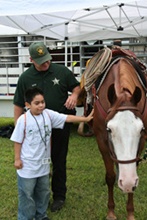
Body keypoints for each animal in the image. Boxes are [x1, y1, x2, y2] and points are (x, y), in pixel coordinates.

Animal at [78, 49, 147, 219]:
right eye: (109, 129)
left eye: (141, 130)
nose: (127, 182)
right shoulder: (102, 141)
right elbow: (109, 177)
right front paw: (111, 212)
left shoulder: (141, 143)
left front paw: (130, 212)